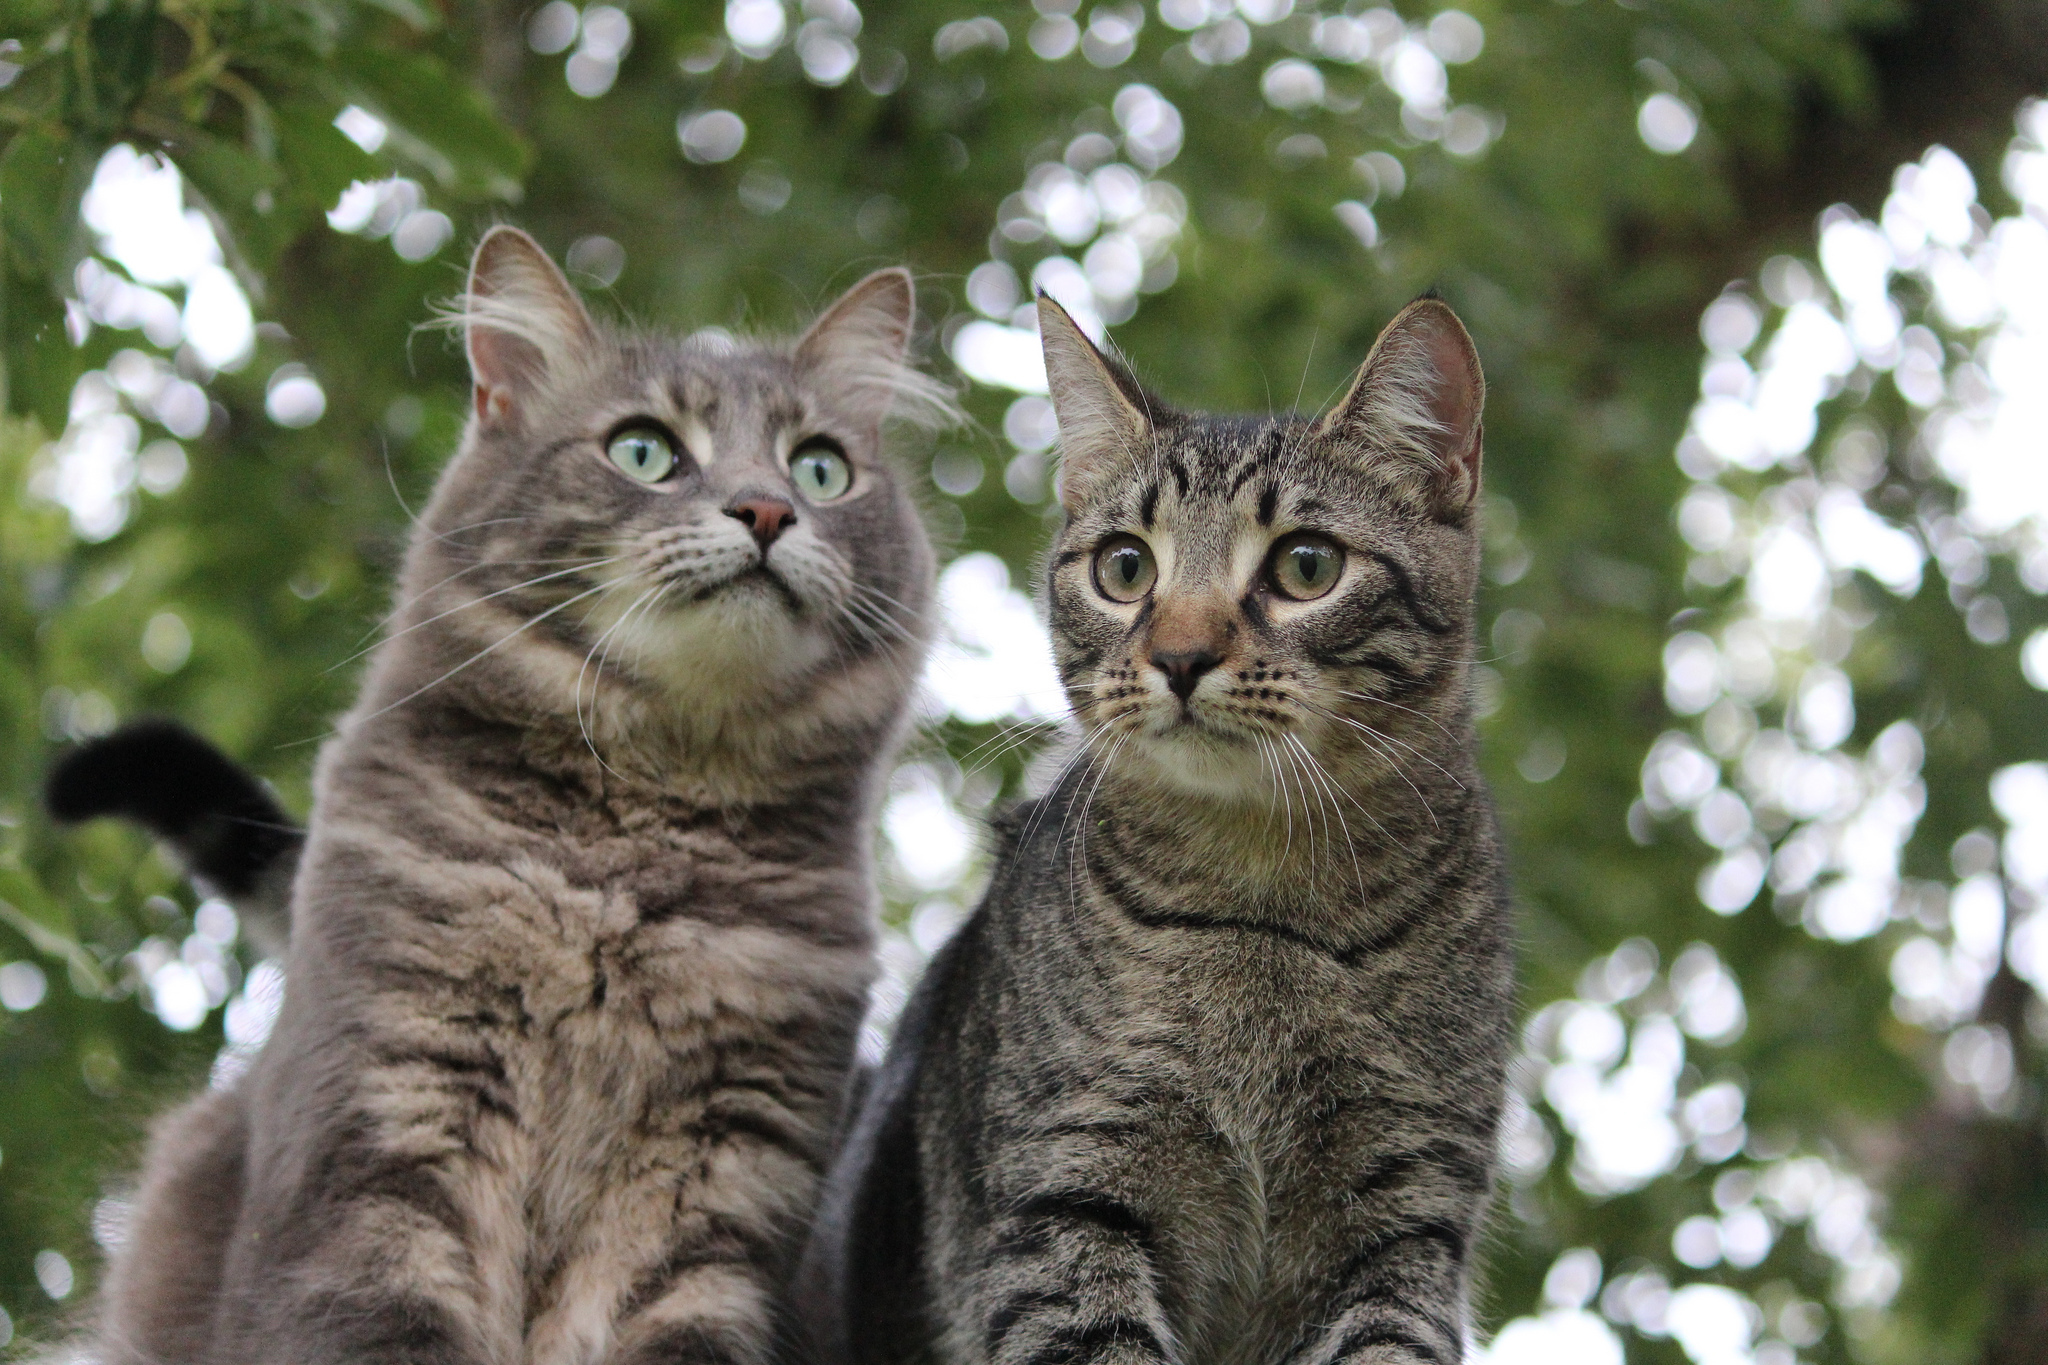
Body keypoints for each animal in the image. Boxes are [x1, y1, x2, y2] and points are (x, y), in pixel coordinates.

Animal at [90, 229, 958, 1358]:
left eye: (820, 467)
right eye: (643, 451)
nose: (767, 509)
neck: (629, 860)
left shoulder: (719, 1195)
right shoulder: (387, 1134)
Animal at [802, 294, 1523, 1358]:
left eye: (1307, 566)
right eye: (1125, 567)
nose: (1180, 656)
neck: (1265, 896)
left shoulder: (1407, 1222)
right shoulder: (1059, 1202)